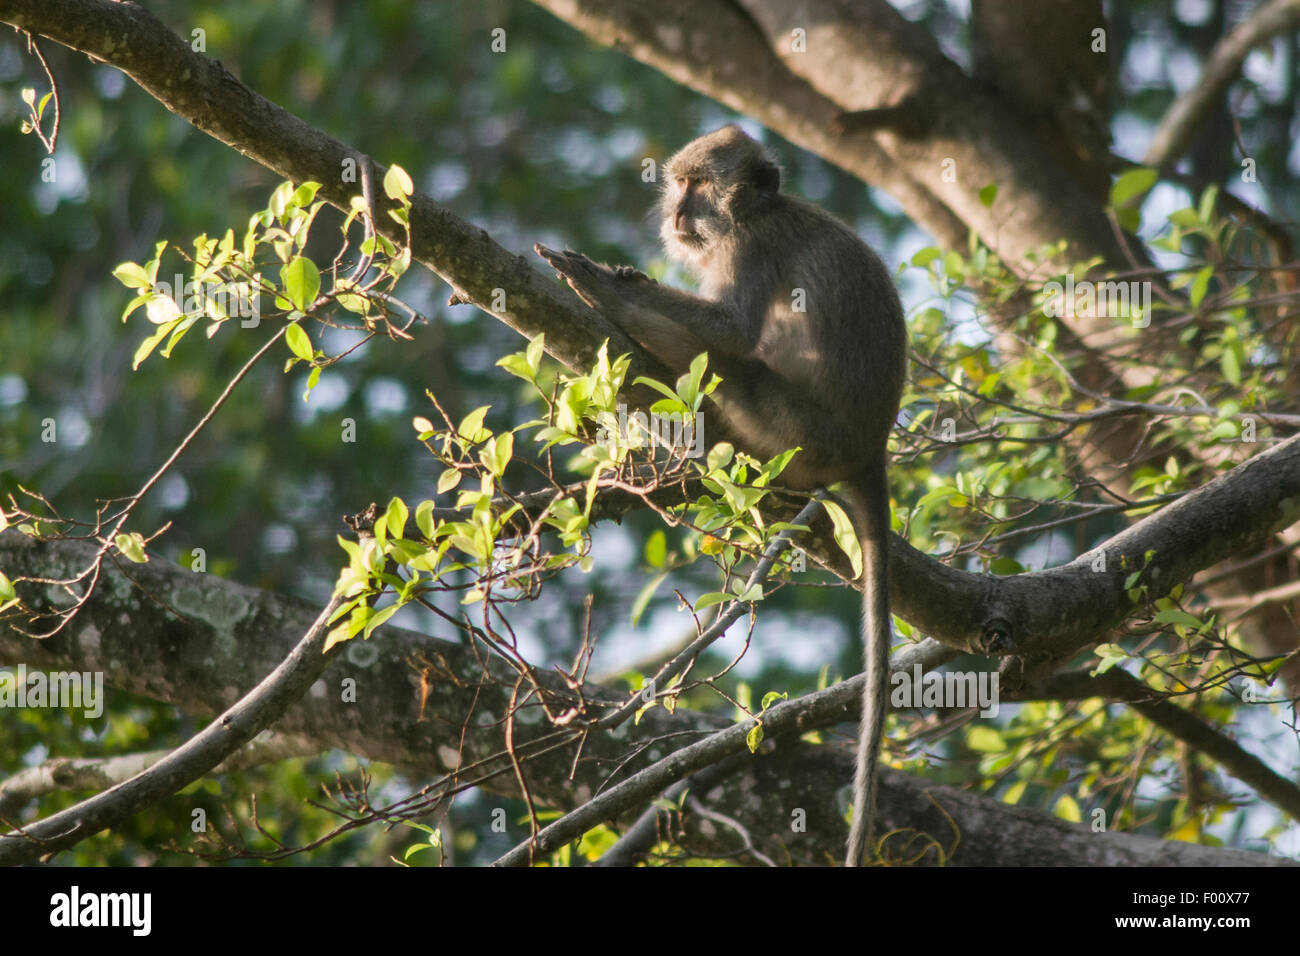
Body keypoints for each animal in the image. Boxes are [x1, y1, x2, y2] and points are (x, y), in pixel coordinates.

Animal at [534, 124, 906, 866]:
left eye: (700, 186)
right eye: (678, 184)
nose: (678, 211)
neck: (758, 212)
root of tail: (869, 445)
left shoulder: (748, 250)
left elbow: (731, 331)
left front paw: (607, 288)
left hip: (796, 429)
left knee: (734, 365)